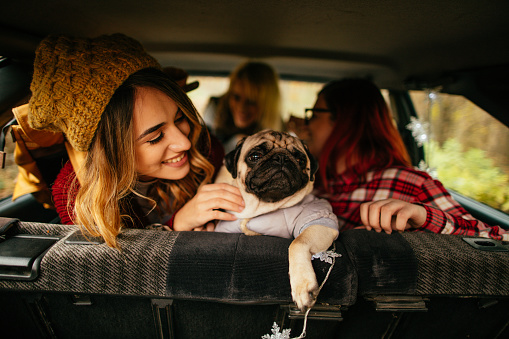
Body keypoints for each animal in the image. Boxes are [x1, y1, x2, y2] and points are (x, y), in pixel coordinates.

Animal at [214, 131, 338, 312]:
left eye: (300, 160)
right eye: (255, 156)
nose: (281, 158)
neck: (264, 204)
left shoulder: (320, 220)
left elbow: (297, 243)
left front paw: (302, 285)